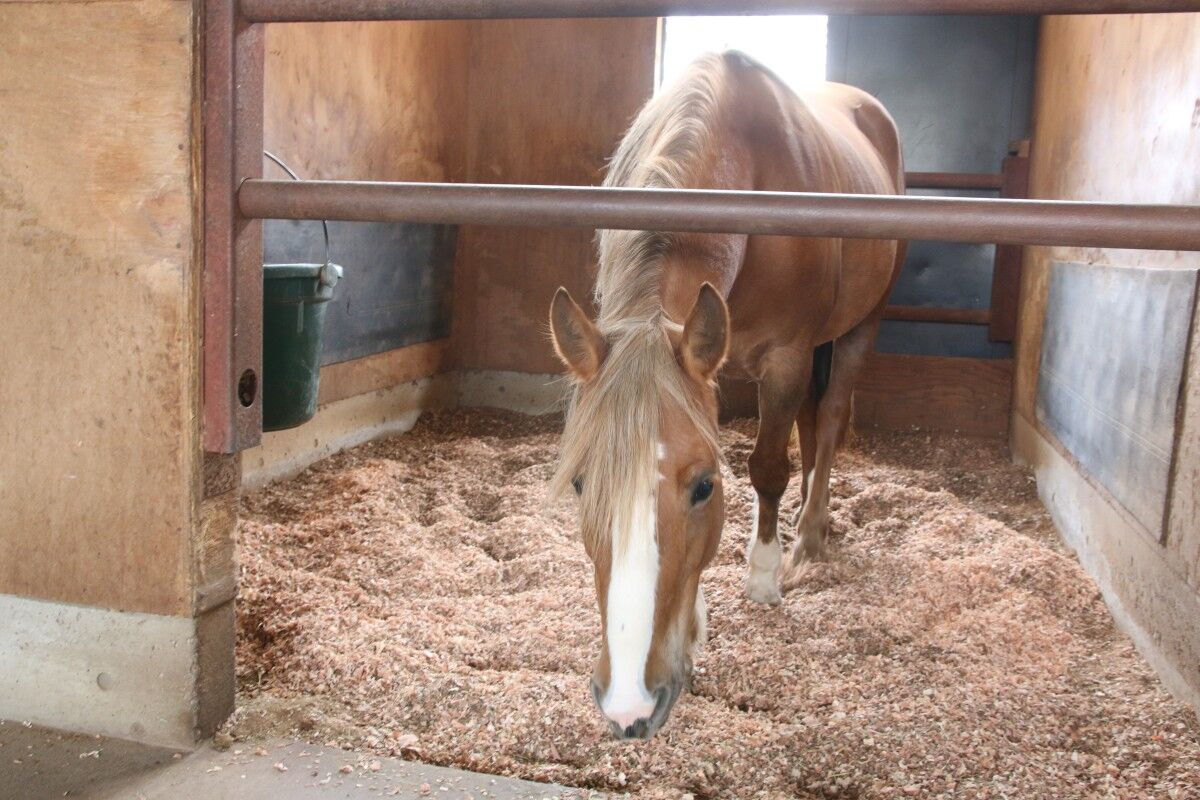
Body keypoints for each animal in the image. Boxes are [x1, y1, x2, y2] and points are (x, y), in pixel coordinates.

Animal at [549, 51, 906, 740]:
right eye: (581, 483)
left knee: (828, 422)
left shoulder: (789, 357)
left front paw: (763, 576)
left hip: (859, 327)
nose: (630, 705)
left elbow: (767, 467)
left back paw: (809, 536)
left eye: (705, 487)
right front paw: (698, 619)